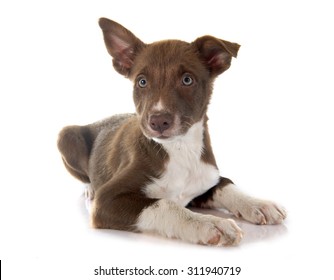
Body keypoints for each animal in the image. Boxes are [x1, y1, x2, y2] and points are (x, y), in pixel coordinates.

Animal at [56, 18, 284, 245]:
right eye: (142, 81)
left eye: (187, 80)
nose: (158, 121)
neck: (180, 148)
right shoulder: (106, 200)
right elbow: (165, 204)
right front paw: (209, 223)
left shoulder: (206, 177)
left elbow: (224, 184)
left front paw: (257, 203)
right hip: (66, 135)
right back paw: (89, 187)